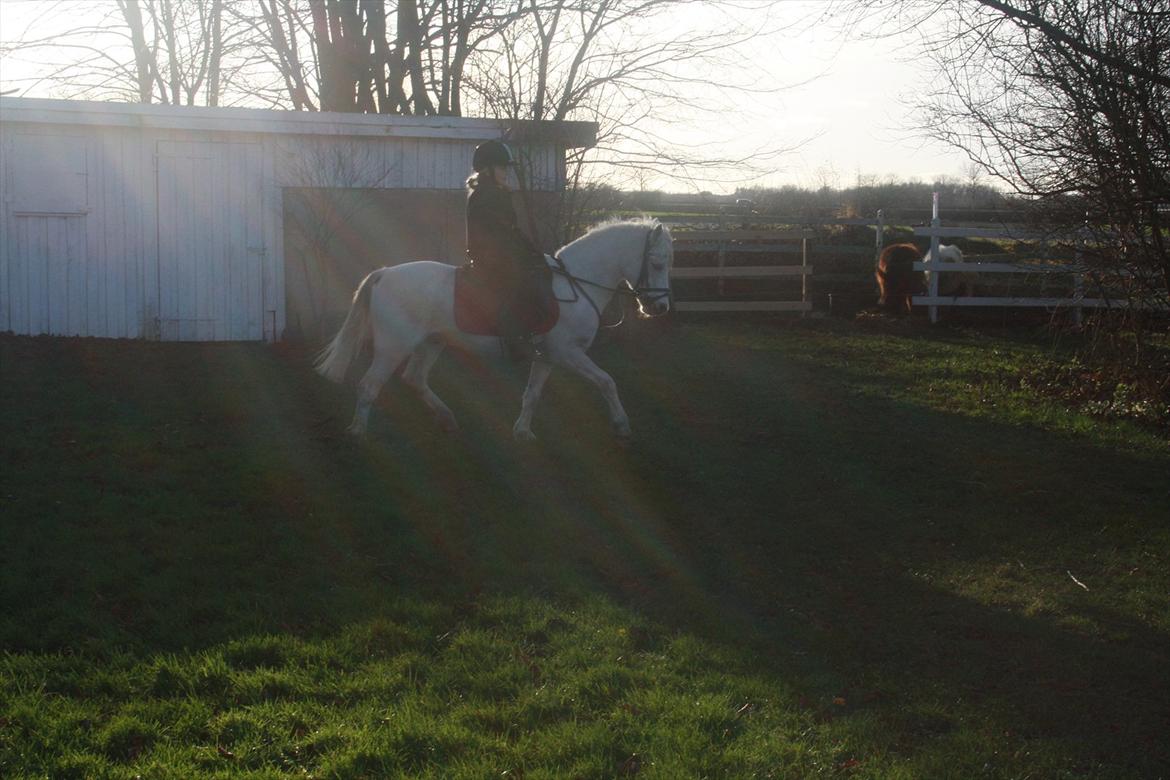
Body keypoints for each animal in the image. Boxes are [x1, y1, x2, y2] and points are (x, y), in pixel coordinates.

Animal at [314, 218, 673, 441]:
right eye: (657, 263)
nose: (660, 308)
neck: (577, 283)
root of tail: (385, 273)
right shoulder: (567, 353)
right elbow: (606, 382)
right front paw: (622, 425)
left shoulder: (547, 357)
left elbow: (532, 394)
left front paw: (522, 432)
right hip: (393, 347)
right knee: (369, 386)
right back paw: (358, 432)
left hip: (431, 342)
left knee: (415, 378)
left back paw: (447, 419)